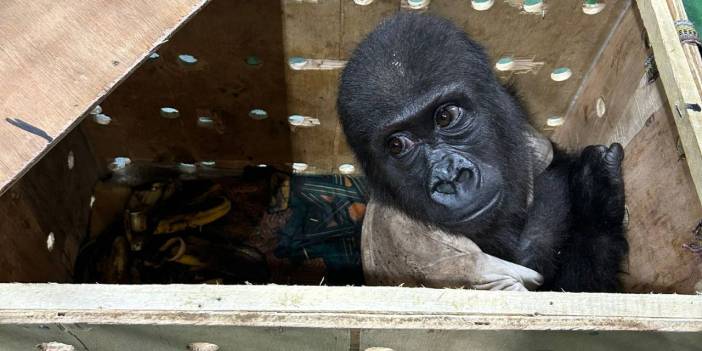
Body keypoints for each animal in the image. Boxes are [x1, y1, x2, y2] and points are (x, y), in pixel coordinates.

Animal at [338, 12, 628, 292]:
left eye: (445, 116)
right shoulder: (423, 247)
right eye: (397, 145)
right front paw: (596, 202)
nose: (449, 176)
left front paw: (595, 194)